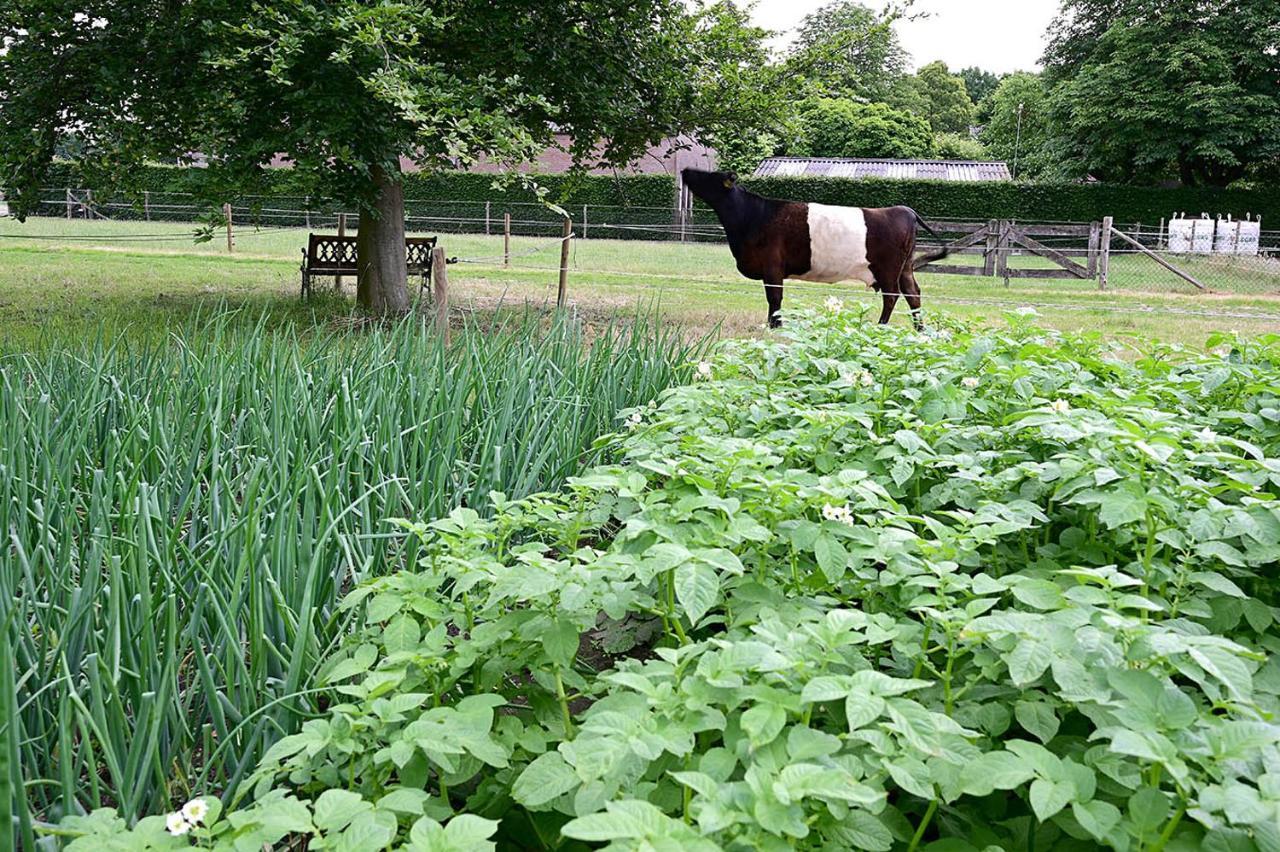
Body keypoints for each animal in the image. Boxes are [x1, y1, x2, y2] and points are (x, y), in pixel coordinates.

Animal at [686, 166, 947, 327]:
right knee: (913, 294)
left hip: (888, 268)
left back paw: (881, 326)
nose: (687, 171)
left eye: (710, 176)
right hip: (905, 268)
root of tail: (905, 210)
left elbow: (775, 297)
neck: (753, 216)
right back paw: (919, 329)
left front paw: (774, 325)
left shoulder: (772, 266)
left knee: (892, 295)